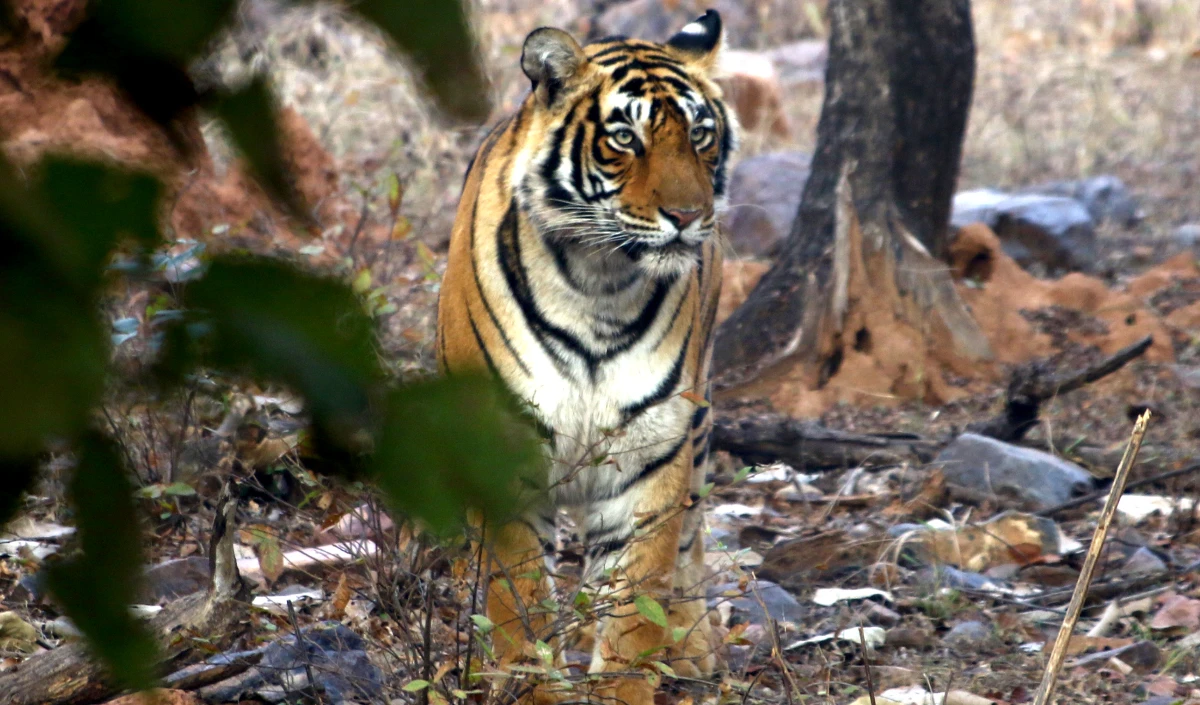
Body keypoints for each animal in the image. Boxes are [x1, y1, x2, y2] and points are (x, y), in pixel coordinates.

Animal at [436, 11, 734, 705]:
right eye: (625, 137)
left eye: (700, 135)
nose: (689, 216)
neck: (600, 282)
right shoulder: (502, 445)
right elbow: (517, 598)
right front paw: (528, 686)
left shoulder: (651, 452)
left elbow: (633, 606)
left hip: (698, 423)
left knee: (693, 534)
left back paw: (693, 645)